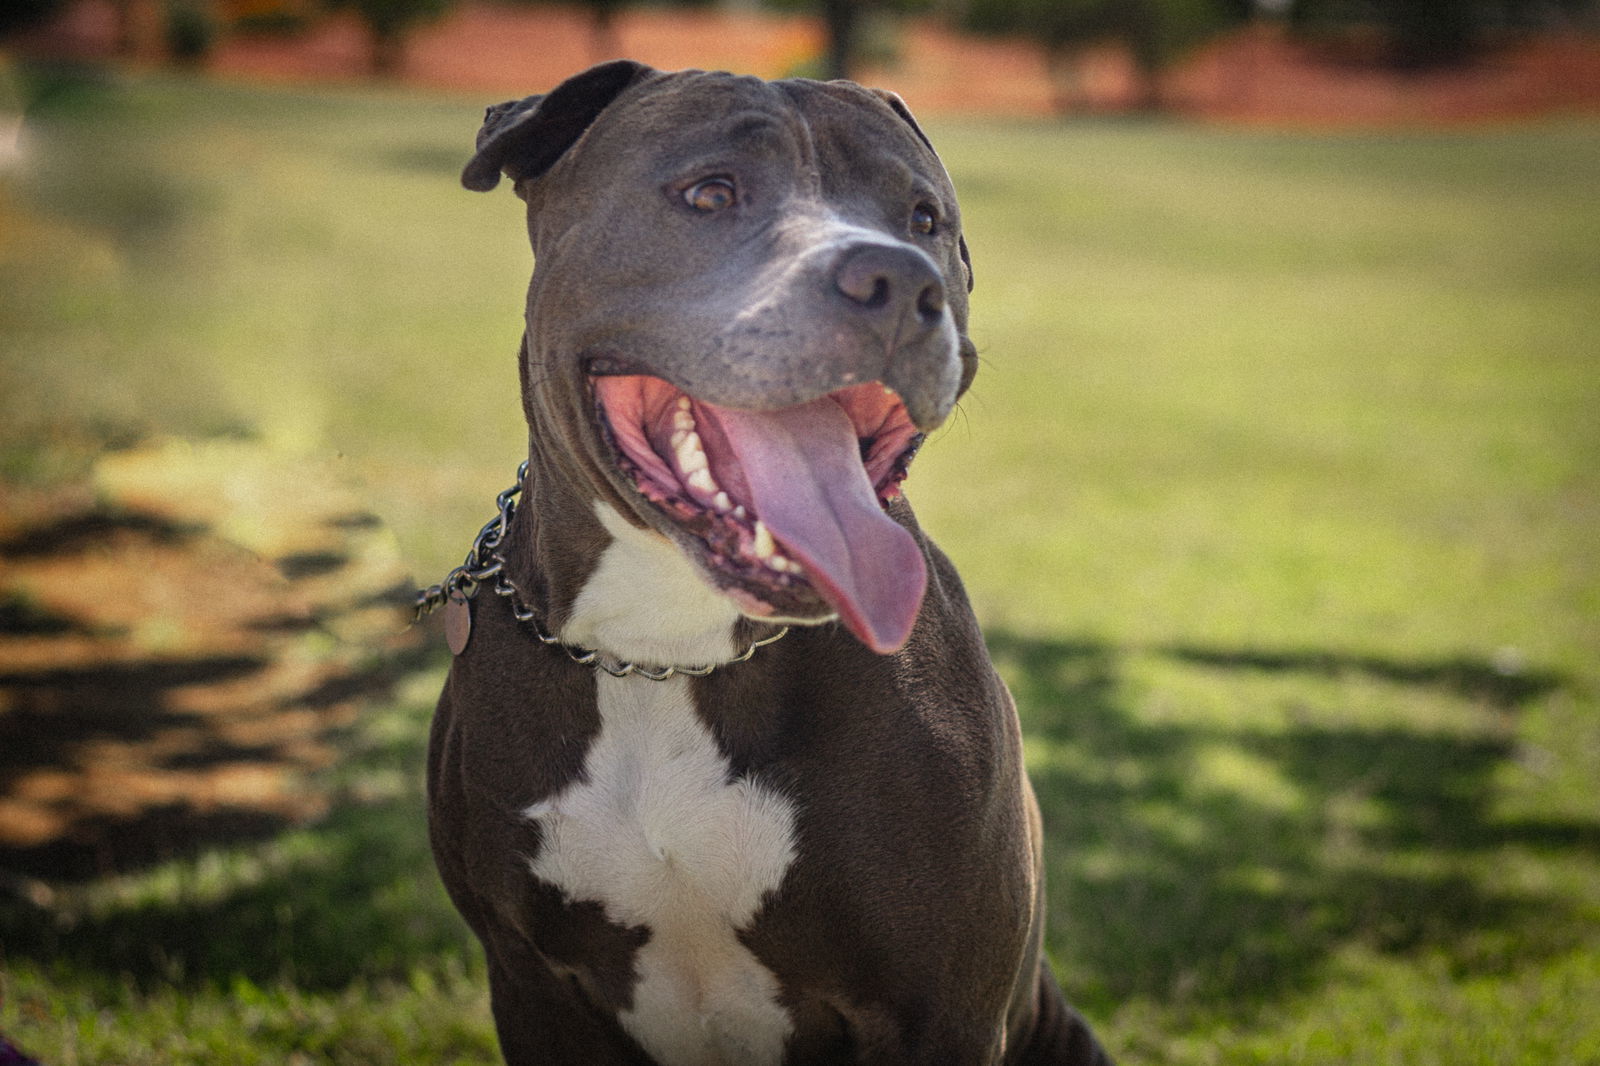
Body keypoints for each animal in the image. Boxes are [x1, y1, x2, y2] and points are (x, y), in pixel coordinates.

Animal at [432, 60, 1120, 1062]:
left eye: (924, 219)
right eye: (710, 193)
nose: (898, 279)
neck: (667, 650)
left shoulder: (945, 1009)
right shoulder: (531, 987)